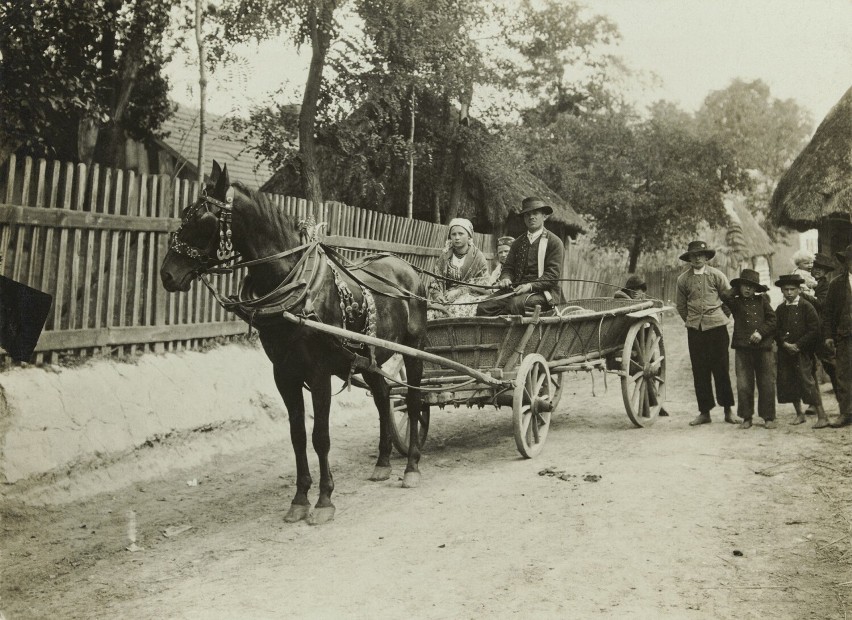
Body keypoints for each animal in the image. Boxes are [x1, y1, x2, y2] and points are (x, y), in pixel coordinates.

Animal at [160, 162, 426, 524]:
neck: (295, 286)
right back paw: (383, 462)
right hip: (369, 357)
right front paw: (300, 498)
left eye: (200, 219)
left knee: (413, 403)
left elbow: (320, 437)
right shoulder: (284, 374)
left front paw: (324, 499)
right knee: (384, 398)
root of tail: (407, 267)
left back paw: (411, 466)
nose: (167, 274)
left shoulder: (319, 374)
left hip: (414, 350)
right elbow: (298, 436)